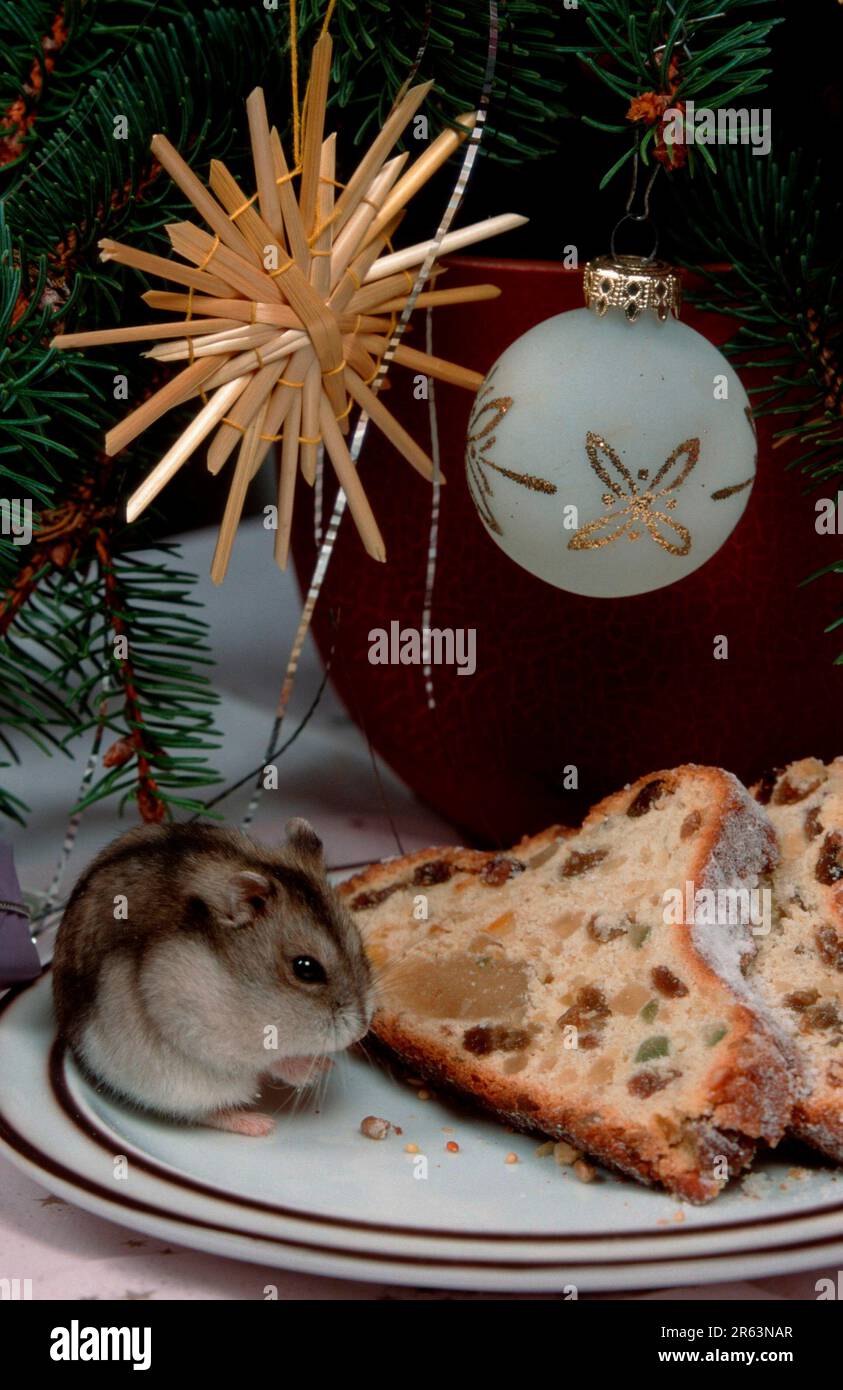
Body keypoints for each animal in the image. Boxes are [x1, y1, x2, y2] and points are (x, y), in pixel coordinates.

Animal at [49, 817, 372, 1134]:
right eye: (306, 968)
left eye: (359, 941)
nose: (361, 1032)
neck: (240, 983)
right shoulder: (193, 1023)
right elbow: (261, 1059)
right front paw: (312, 1071)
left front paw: (325, 1066)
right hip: (173, 1083)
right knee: (204, 1112)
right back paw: (259, 1124)